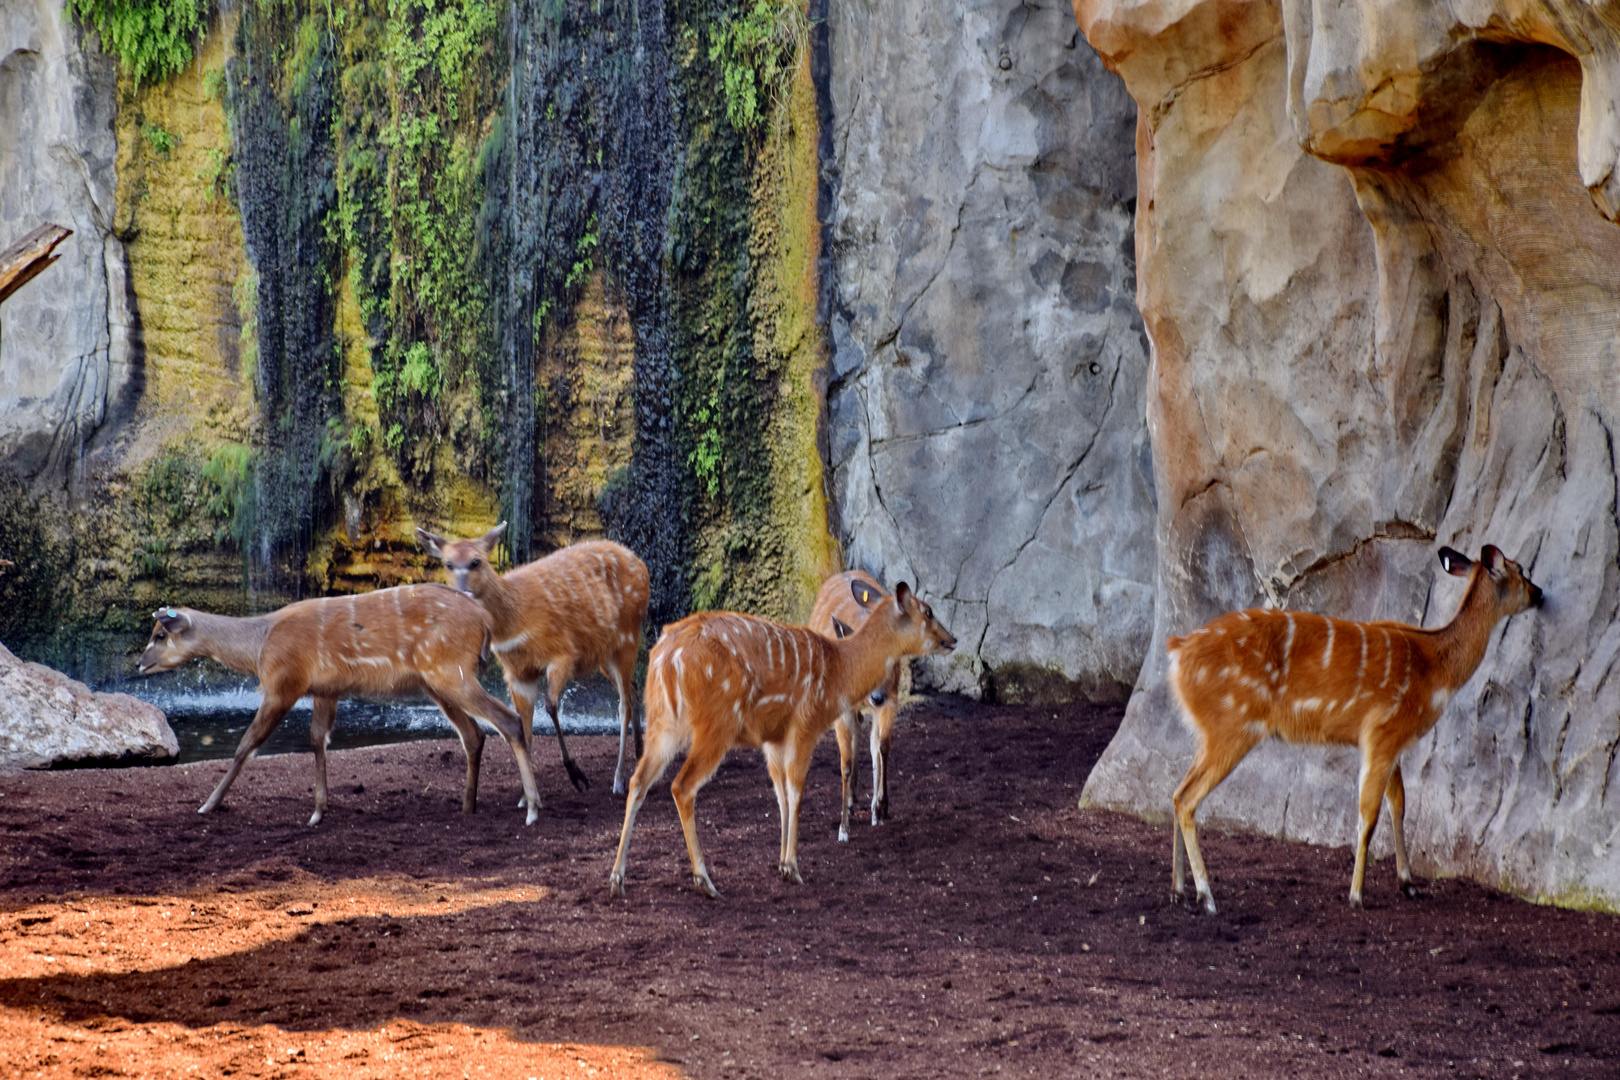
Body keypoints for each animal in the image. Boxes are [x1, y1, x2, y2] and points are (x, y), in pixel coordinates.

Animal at [139, 586, 544, 822]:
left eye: (160, 635)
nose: (140, 663)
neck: (260, 647)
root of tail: (485, 621)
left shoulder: (284, 683)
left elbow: (247, 745)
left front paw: (208, 804)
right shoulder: (325, 689)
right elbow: (318, 739)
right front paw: (318, 811)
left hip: (450, 672)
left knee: (508, 720)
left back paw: (532, 808)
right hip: (435, 682)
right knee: (474, 733)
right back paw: (467, 806)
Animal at [414, 527, 648, 799]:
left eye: (476, 561)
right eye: (448, 564)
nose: (464, 593)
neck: (515, 621)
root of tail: (642, 565)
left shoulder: (562, 654)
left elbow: (550, 706)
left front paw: (575, 775)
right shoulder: (518, 672)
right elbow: (524, 726)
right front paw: (525, 798)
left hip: (627, 636)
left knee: (623, 704)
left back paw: (619, 780)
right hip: (605, 654)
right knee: (633, 687)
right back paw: (639, 750)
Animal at [810, 569, 913, 841]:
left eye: (891, 658)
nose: (876, 697)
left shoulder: (891, 697)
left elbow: (881, 747)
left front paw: (880, 808)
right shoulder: (841, 706)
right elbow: (845, 762)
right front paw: (843, 828)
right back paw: (851, 801)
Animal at [1172, 550, 1535, 913]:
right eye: (1520, 571)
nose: (1540, 593)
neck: (1435, 667)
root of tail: (1177, 650)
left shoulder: (1391, 743)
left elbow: (1398, 804)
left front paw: (1409, 884)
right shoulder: (1383, 732)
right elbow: (1369, 814)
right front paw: (1357, 896)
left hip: (1210, 734)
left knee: (1176, 793)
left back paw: (1178, 891)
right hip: (1232, 728)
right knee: (1188, 798)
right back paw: (1206, 896)